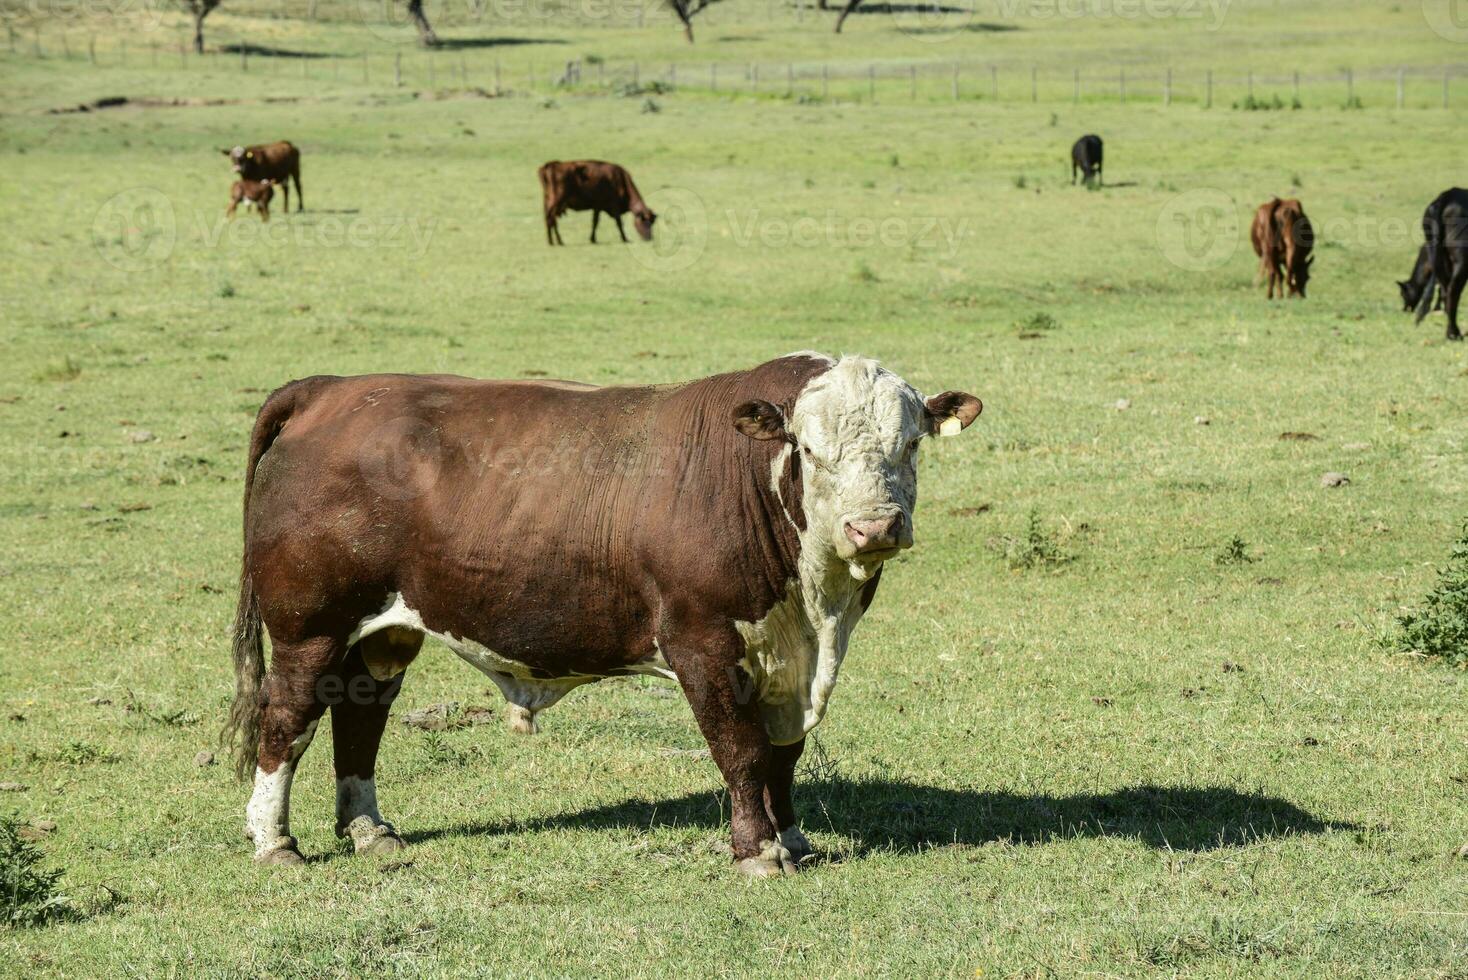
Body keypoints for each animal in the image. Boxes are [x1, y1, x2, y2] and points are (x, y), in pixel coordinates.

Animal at [226, 356, 986, 874]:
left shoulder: (786, 660)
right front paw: (758, 851)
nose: (875, 526)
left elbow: (784, 755)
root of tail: (332, 387)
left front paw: (794, 839)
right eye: (808, 449)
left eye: (911, 443)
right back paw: (274, 840)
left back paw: (371, 830)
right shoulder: (704, 644)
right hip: (311, 626)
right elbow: (740, 751)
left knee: (360, 713)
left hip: (383, 630)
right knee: (287, 717)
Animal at [1409, 187, 1468, 340]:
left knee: (1445, 290)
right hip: (1460, 259)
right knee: (1452, 291)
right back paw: (1454, 333)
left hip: (1439, 257)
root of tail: (1447, 196)